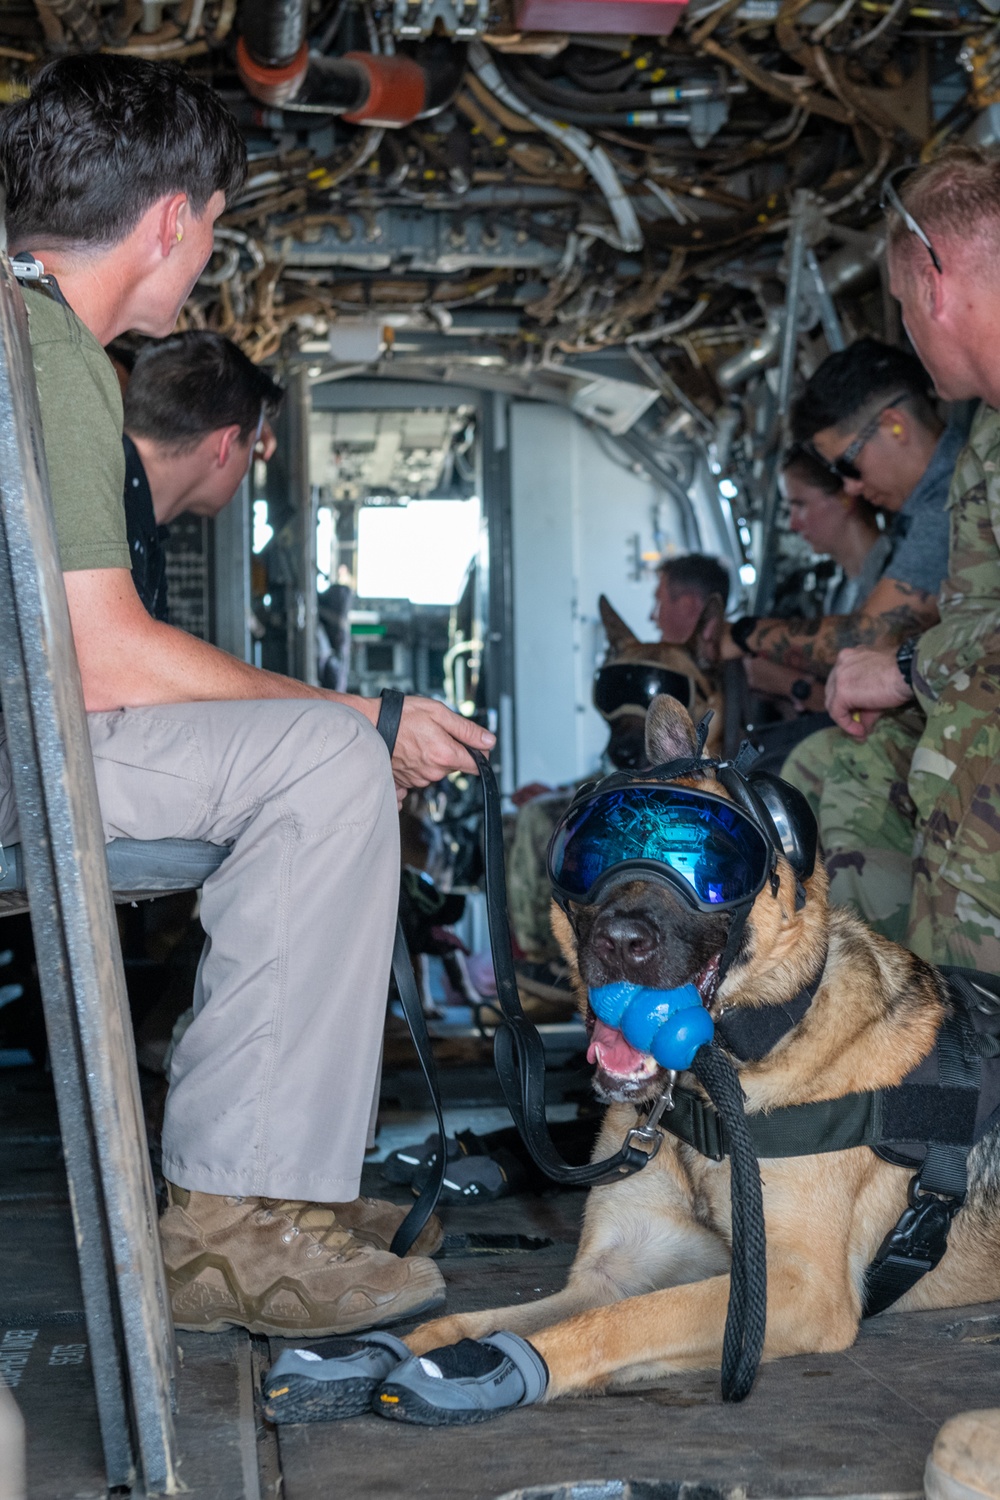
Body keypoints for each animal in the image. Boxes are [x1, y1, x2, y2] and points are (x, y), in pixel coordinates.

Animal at [407, 696, 1000, 1398]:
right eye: (591, 853)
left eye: (710, 868)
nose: (619, 942)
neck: (713, 1089)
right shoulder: (612, 1270)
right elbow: (483, 1319)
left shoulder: (794, 1289)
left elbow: (613, 1323)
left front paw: (495, 1366)